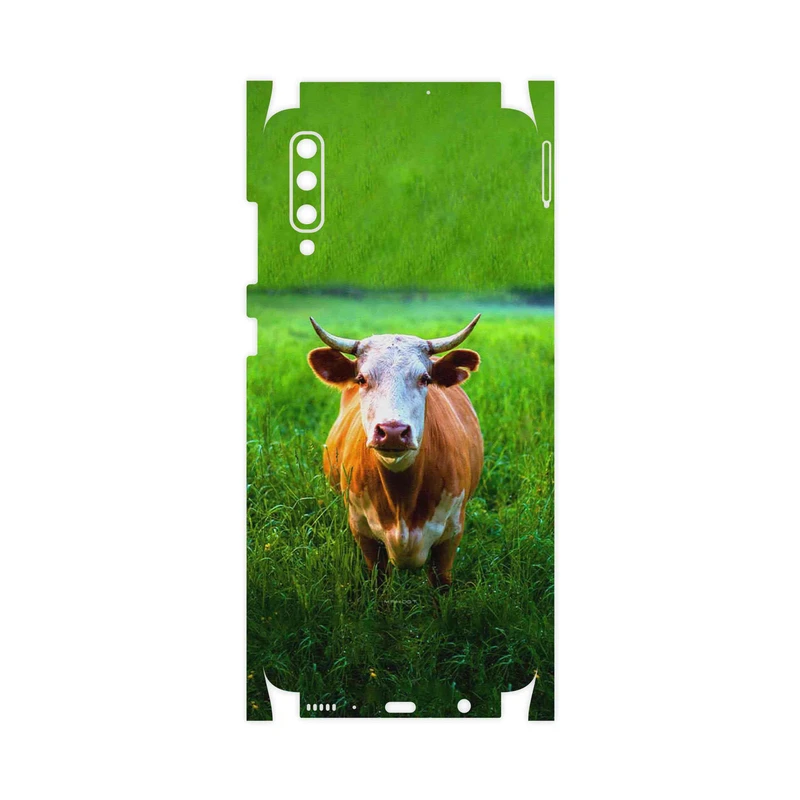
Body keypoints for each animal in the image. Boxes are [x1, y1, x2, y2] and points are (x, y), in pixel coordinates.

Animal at [307, 315, 484, 590]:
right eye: (361, 379)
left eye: (425, 379)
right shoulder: (364, 533)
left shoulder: (451, 535)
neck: (403, 500)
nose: (392, 431)